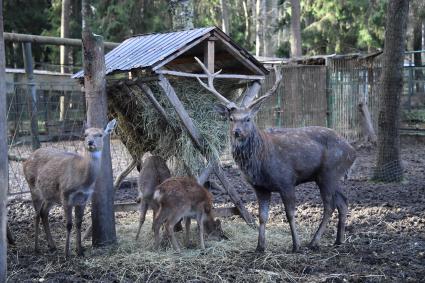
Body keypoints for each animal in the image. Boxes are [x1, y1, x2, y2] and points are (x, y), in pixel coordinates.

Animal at [23, 118, 116, 258]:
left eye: (100, 135)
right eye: (85, 135)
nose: (90, 143)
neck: (82, 181)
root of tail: (25, 161)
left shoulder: (83, 199)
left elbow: (78, 223)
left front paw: (80, 250)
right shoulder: (65, 195)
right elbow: (68, 224)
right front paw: (67, 253)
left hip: (50, 195)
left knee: (44, 212)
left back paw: (52, 246)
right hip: (33, 188)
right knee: (36, 215)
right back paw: (36, 248)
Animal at [195, 58, 354, 253]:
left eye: (248, 118)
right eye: (231, 119)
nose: (237, 132)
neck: (260, 161)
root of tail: (353, 151)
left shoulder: (286, 180)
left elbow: (290, 214)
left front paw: (296, 245)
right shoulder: (260, 187)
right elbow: (262, 216)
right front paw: (260, 247)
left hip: (329, 172)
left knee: (329, 205)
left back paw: (313, 242)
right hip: (330, 176)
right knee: (343, 202)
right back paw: (338, 240)